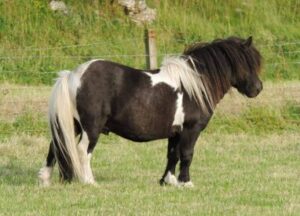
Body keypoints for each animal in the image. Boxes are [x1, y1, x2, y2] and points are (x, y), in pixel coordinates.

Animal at [38, 36, 262, 186]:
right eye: (247, 64)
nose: (258, 89)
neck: (194, 86)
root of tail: (73, 75)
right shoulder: (191, 129)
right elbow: (187, 154)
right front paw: (186, 182)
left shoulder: (176, 131)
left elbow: (173, 155)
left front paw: (168, 181)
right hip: (91, 127)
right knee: (83, 151)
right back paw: (89, 181)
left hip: (73, 123)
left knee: (56, 145)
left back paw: (45, 179)